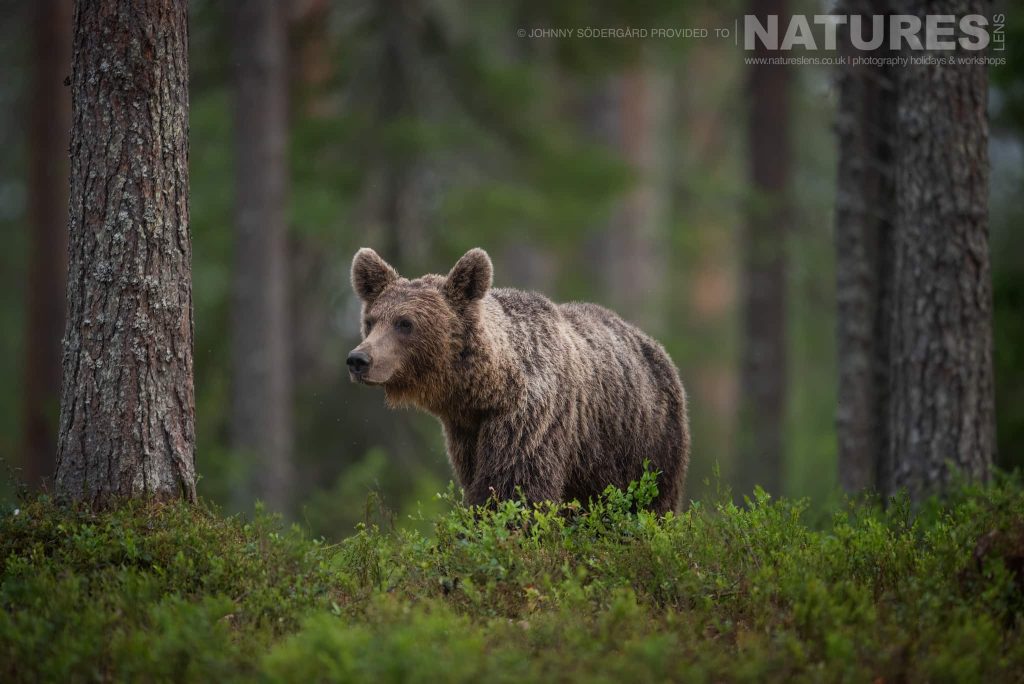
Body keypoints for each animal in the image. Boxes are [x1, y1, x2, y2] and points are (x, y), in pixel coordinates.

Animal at [347, 247, 690, 513]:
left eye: (405, 323)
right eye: (371, 321)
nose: (358, 360)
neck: (489, 390)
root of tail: (653, 345)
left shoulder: (529, 419)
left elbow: (514, 489)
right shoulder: (465, 434)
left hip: (645, 444)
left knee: (648, 502)